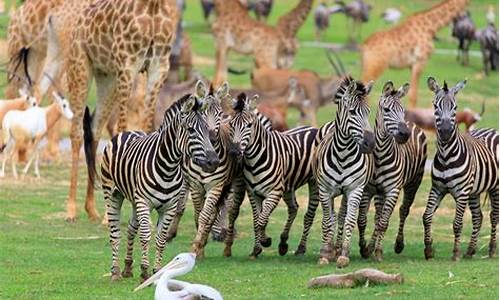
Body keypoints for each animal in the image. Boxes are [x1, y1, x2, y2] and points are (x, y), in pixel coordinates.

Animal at [95, 91, 219, 282]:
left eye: (207, 130)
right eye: (191, 130)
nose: (214, 162)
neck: (168, 167)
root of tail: (128, 131)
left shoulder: (169, 207)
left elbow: (161, 238)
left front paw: (156, 271)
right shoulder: (144, 202)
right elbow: (146, 234)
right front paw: (145, 271)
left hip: (135, 201)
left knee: (131, 227)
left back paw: (127, 267)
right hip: (113, 194)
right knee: (115, 232)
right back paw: (115, 272)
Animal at [225, 93, 318, 258]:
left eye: (249, 126)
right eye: (231, 124)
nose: (234, 152)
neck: (254, 161)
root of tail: (311, 127)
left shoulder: (274, 192)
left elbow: (262, 220)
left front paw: (265, 241)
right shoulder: (253, 193)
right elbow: (257, 220)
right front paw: (257, 248)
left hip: (313, 183)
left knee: (309, 214)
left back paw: (301, 248)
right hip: (288, 185)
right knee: (293, 208)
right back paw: (283, 243)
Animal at [312, 76, 376, 268]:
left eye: (368, 112)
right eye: (353, 112)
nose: (370, 144)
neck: (342, 153)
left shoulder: (355, 189)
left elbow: (349, 220)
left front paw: (344, 254)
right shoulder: (325, 190)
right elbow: (327, 220)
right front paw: (325, 254)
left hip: (346, 193)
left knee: (340, 216)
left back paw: (338, 248)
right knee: (330, 217)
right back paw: (329, 248)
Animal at [358, 81, 428, 262]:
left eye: (402, 110)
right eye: (387, 110)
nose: (404, 135)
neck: (380, 156)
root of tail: (411, 123)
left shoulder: (392, 190)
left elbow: (383, 223)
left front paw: (378, 252)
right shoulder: (369, 189)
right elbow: (365, 220)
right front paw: (366, 248)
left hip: (414, 183)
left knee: (403, 210)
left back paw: (398, 244)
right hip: (380, 192)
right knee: (378, 216)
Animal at [424, 77, 498, 260]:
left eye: (455, 107)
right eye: (435, 106)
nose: (445, 132)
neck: (445, 156)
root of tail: (492, 130)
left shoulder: (462, 192)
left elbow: (457, 223)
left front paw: (455, 253)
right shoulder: (437, 188)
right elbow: (427, 216)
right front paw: (428, 250)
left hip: (495, 187)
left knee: (494, 216)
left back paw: (492, 249)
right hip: (474, 191)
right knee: (478, 217)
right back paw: (470, 250)